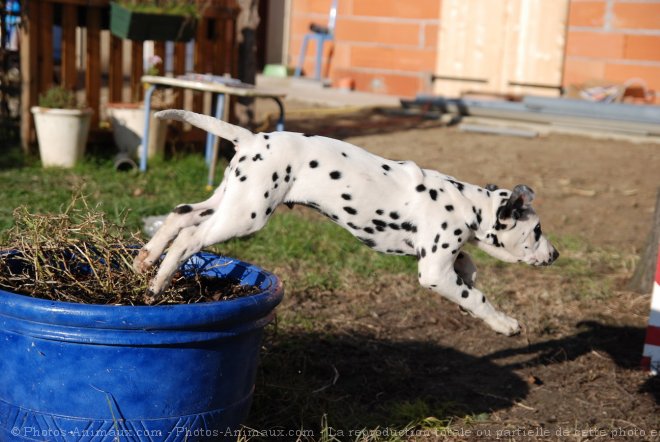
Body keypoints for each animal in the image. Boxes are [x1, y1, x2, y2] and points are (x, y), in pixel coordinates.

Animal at [137, 109, 560, 334]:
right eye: (537, 231)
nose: (555, 255)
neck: (465, 204)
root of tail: (253, 138)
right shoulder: (434, 272)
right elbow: (476, 296)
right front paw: (504, 322)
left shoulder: (442, 257)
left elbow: (469, 268)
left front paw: (471, 283)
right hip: (245, 217)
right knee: (189, 239)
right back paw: (156, 285)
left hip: (230, 200)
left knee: (179, 215)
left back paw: (144, 262)